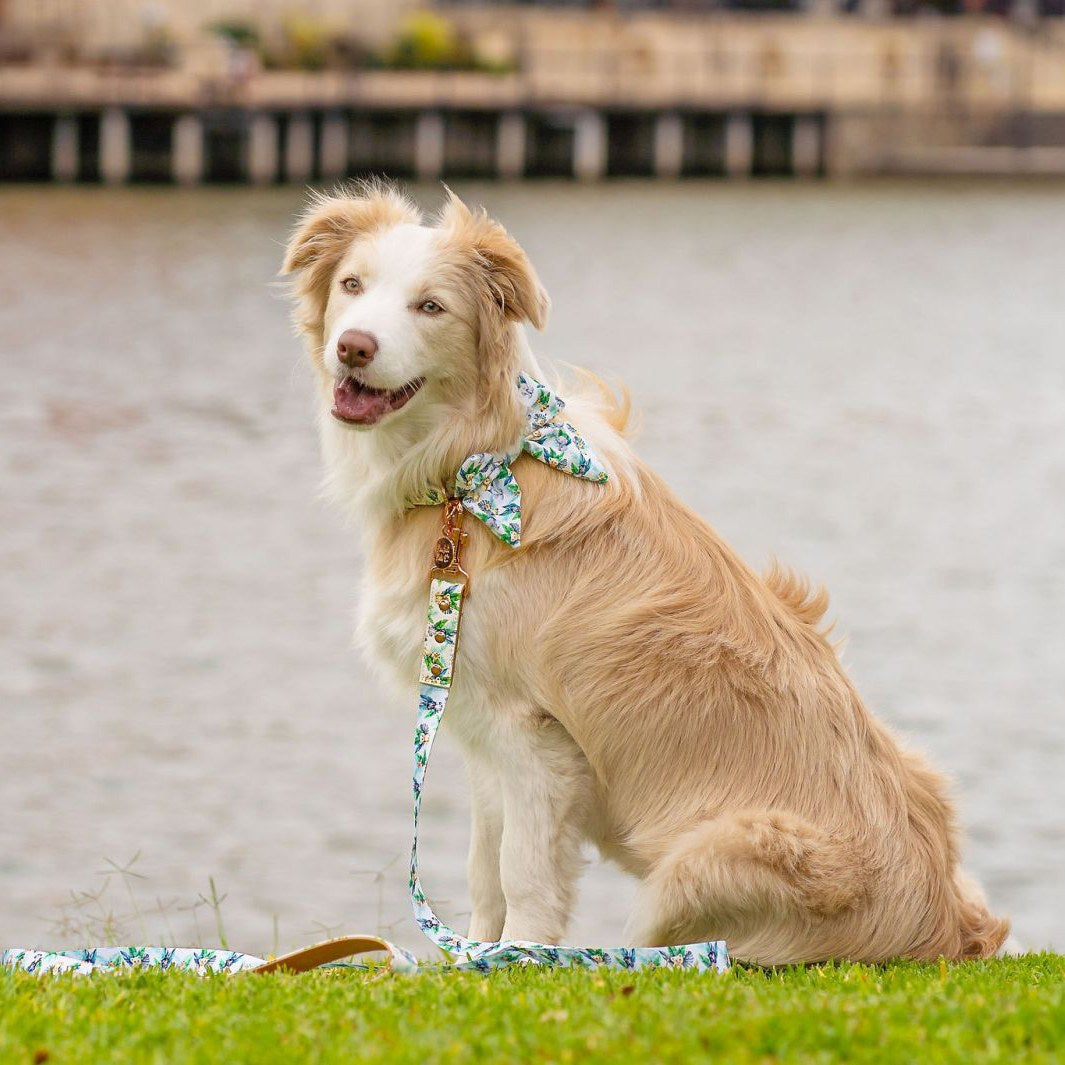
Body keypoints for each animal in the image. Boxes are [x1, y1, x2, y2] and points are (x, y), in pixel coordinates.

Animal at [281, 183, 1005, 967]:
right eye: (353, 286)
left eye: (430, 306)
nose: (354, 346)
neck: (466, 466)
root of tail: (946, 928)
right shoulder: (479, 728)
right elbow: (483, 870)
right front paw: (474, 958)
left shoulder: (533, 738)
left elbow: (523, 874)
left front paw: (519, 959)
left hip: (698, 863)